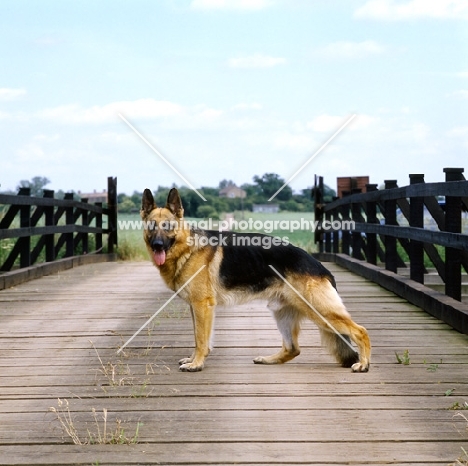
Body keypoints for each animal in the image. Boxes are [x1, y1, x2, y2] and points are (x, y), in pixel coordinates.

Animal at [141, 187, 372, 374]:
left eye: (167, 226)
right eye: (152, 226)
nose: (158, 245)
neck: (187, 248)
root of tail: (320, 266)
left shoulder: (202, 306)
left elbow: (200, 339)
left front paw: (196, 364)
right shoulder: (196, 308)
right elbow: (199, 337)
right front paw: (193, 359)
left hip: (320, 311)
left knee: (360, 331)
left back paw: (363, 364)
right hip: (282, 313)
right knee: (293, 349)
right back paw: (268, 359)